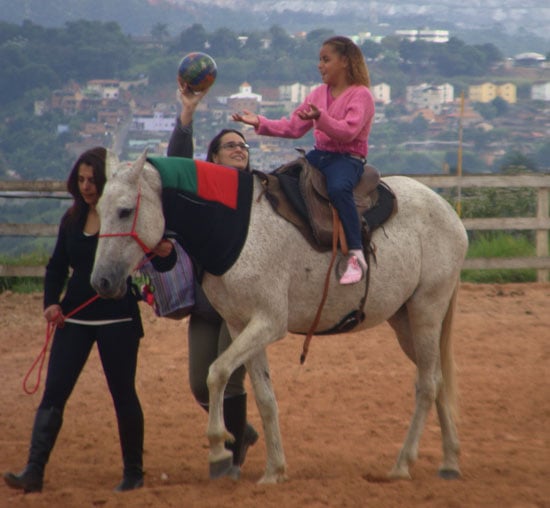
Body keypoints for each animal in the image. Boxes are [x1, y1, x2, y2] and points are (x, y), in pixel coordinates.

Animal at [91, 151, 470, 484]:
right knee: (438, 380)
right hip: (405, 322)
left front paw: (219, 449)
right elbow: (264, 397)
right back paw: (450, 461)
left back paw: (403, 464)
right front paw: (274, 470)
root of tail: (449, 214)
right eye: (99, 210)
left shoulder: (269, 323)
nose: (101, 281)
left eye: (125, 211)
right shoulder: (242, 326)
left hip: (426, 312)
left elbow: (217, 373)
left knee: (426, 385)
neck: (236, 229)